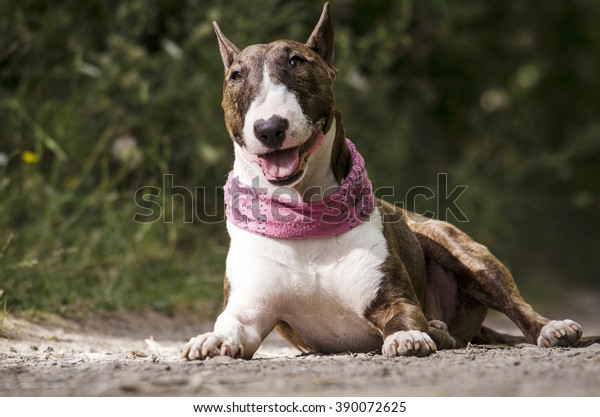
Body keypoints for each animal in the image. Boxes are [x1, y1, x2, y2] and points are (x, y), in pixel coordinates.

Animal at [183, 3, 596, 360]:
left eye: (297, 61)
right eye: (236, 76)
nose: (270, 128)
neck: (304, 215)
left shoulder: (394, 298)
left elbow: (403, 317)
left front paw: (407, 337)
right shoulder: (250, 310)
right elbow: (231, 325)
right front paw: (211, 339)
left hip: (464, 251)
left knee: (514, 303)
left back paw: (550, 328)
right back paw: (441, 331)